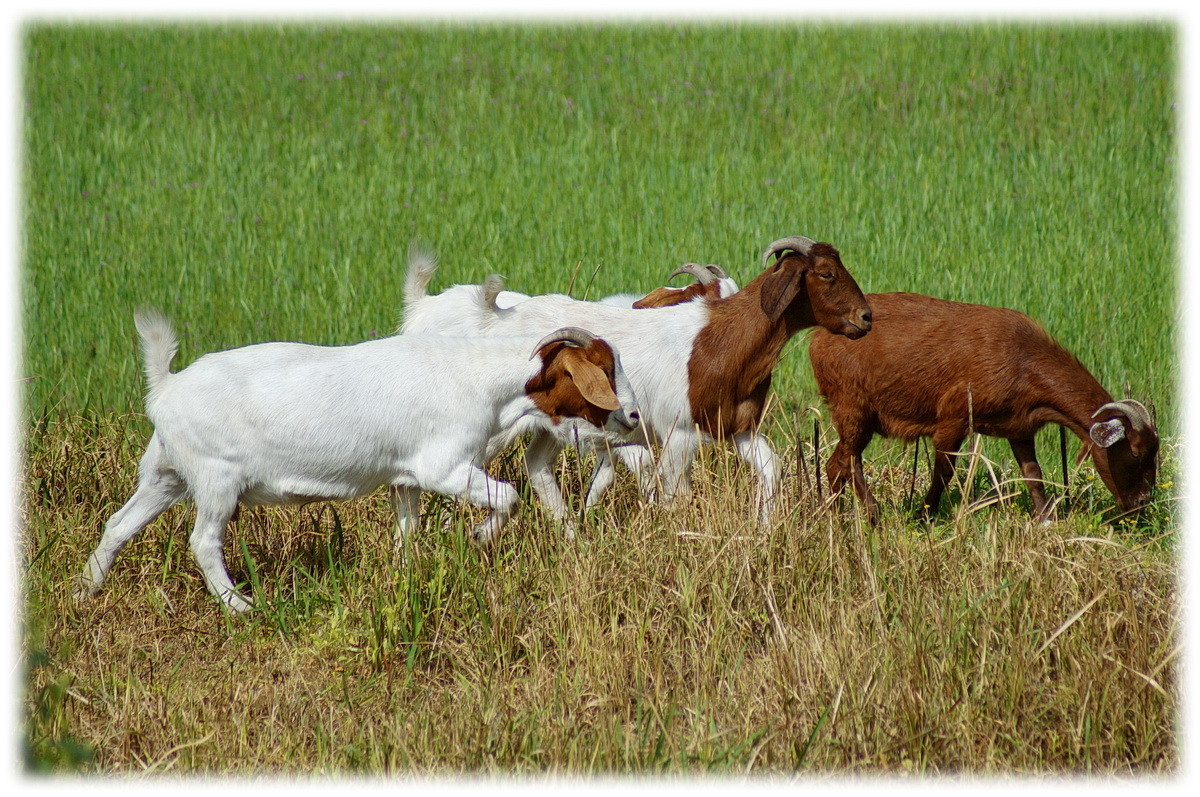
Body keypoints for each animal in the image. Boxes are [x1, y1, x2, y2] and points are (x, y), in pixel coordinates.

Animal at [75, 309, 638, 609]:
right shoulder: (444, 466)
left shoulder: (406, 479)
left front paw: (407, 576)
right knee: (203, 541)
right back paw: (241, 607)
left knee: (118, 525)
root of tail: (164, 387)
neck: (484, 380)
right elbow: (510, 496)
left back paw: (85, 592)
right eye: (603, 369)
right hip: (216, 476)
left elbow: (407, 531)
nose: (633, 415)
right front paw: (479, 538)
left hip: (167, 473)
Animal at [811, 292, 1156, 523]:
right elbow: (944, 470)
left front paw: (1045, 518)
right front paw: (925, 515)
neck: (1022, 358)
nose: (1143, 503)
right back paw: (872, 512)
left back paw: (835, 514)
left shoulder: (1020, 427)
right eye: (1134, 452)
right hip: (852, 405)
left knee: (835, 463)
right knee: (849, 458)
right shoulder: (954, 417)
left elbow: (1033, 472)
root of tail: (817, 339)